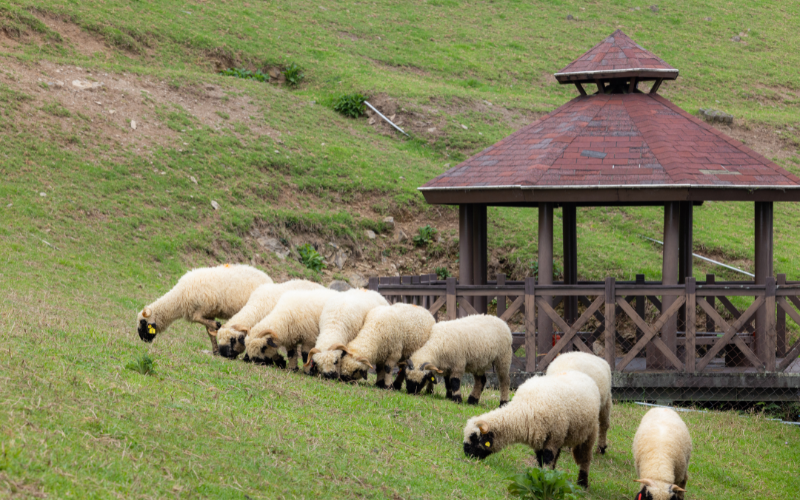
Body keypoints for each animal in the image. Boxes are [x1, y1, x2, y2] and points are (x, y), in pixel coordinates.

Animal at [137, 264, 272, 354]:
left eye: (143, 322)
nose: (142, 339)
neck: (179, 298)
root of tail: (268, 278)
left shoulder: (205, 305)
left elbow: (196, 318)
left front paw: (217, 325)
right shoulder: (208, 312)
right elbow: (209, 330)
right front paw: (215, 350)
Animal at [462, 372, 600, 488]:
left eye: (475, 438)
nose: (467, 454)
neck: (525, 408)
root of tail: (583, 374)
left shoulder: (553, 437)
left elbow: (548, 457)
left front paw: (546, 478)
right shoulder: (540, 439)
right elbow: (541, 459)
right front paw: (543, 476)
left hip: (590, 433)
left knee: (585, 459)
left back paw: (582, 483)